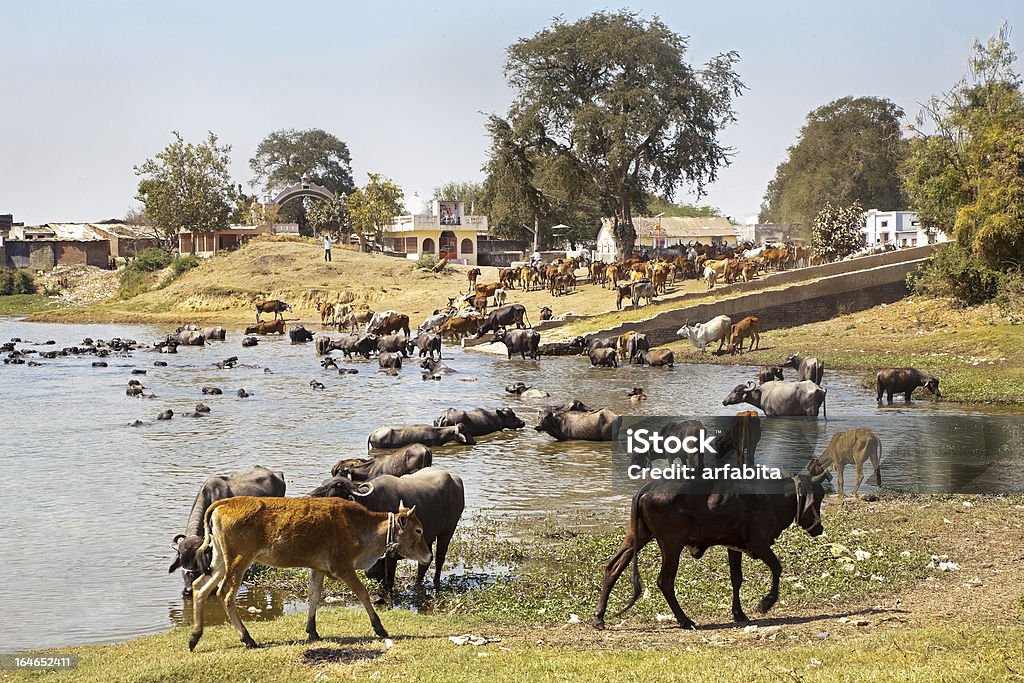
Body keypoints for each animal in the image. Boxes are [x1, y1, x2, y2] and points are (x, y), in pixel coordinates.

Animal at [186, 497, 430, 651]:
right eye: (418, 530)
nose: (429, 555)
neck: (360, 526)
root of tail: (224, 502)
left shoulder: (318, 569)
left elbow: (314, 596)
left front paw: (312, 631)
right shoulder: (343, 568)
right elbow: (362, 593)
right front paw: (380, 628)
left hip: (220, 561)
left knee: (199, 587)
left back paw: (194, 637)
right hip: (238, 561)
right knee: (225, 594)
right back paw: (248, 638)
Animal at [303, 466, 464, 593]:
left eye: (337, 485)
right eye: (323, 483)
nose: (308, 496)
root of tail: (456, 480)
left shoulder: (391, 552)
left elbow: (389, 577)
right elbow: (373, 572)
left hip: (448, 531)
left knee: (439, 558)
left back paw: (436, 582)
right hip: (426, 538)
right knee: (424, 561)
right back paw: (417, 584)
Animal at [598, 473, 827, 626]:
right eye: (818, 498)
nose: (820, 529)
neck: (773, 498)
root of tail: (646, 488)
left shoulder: (734, 547)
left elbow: (736, 578)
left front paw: (739, 614)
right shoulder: (759, 544)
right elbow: (777, 568)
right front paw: (766, 603)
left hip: (637, 536)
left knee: (612, 568)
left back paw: (599, 618)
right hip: (671, 544)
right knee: (665, 581)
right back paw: (685, 620)